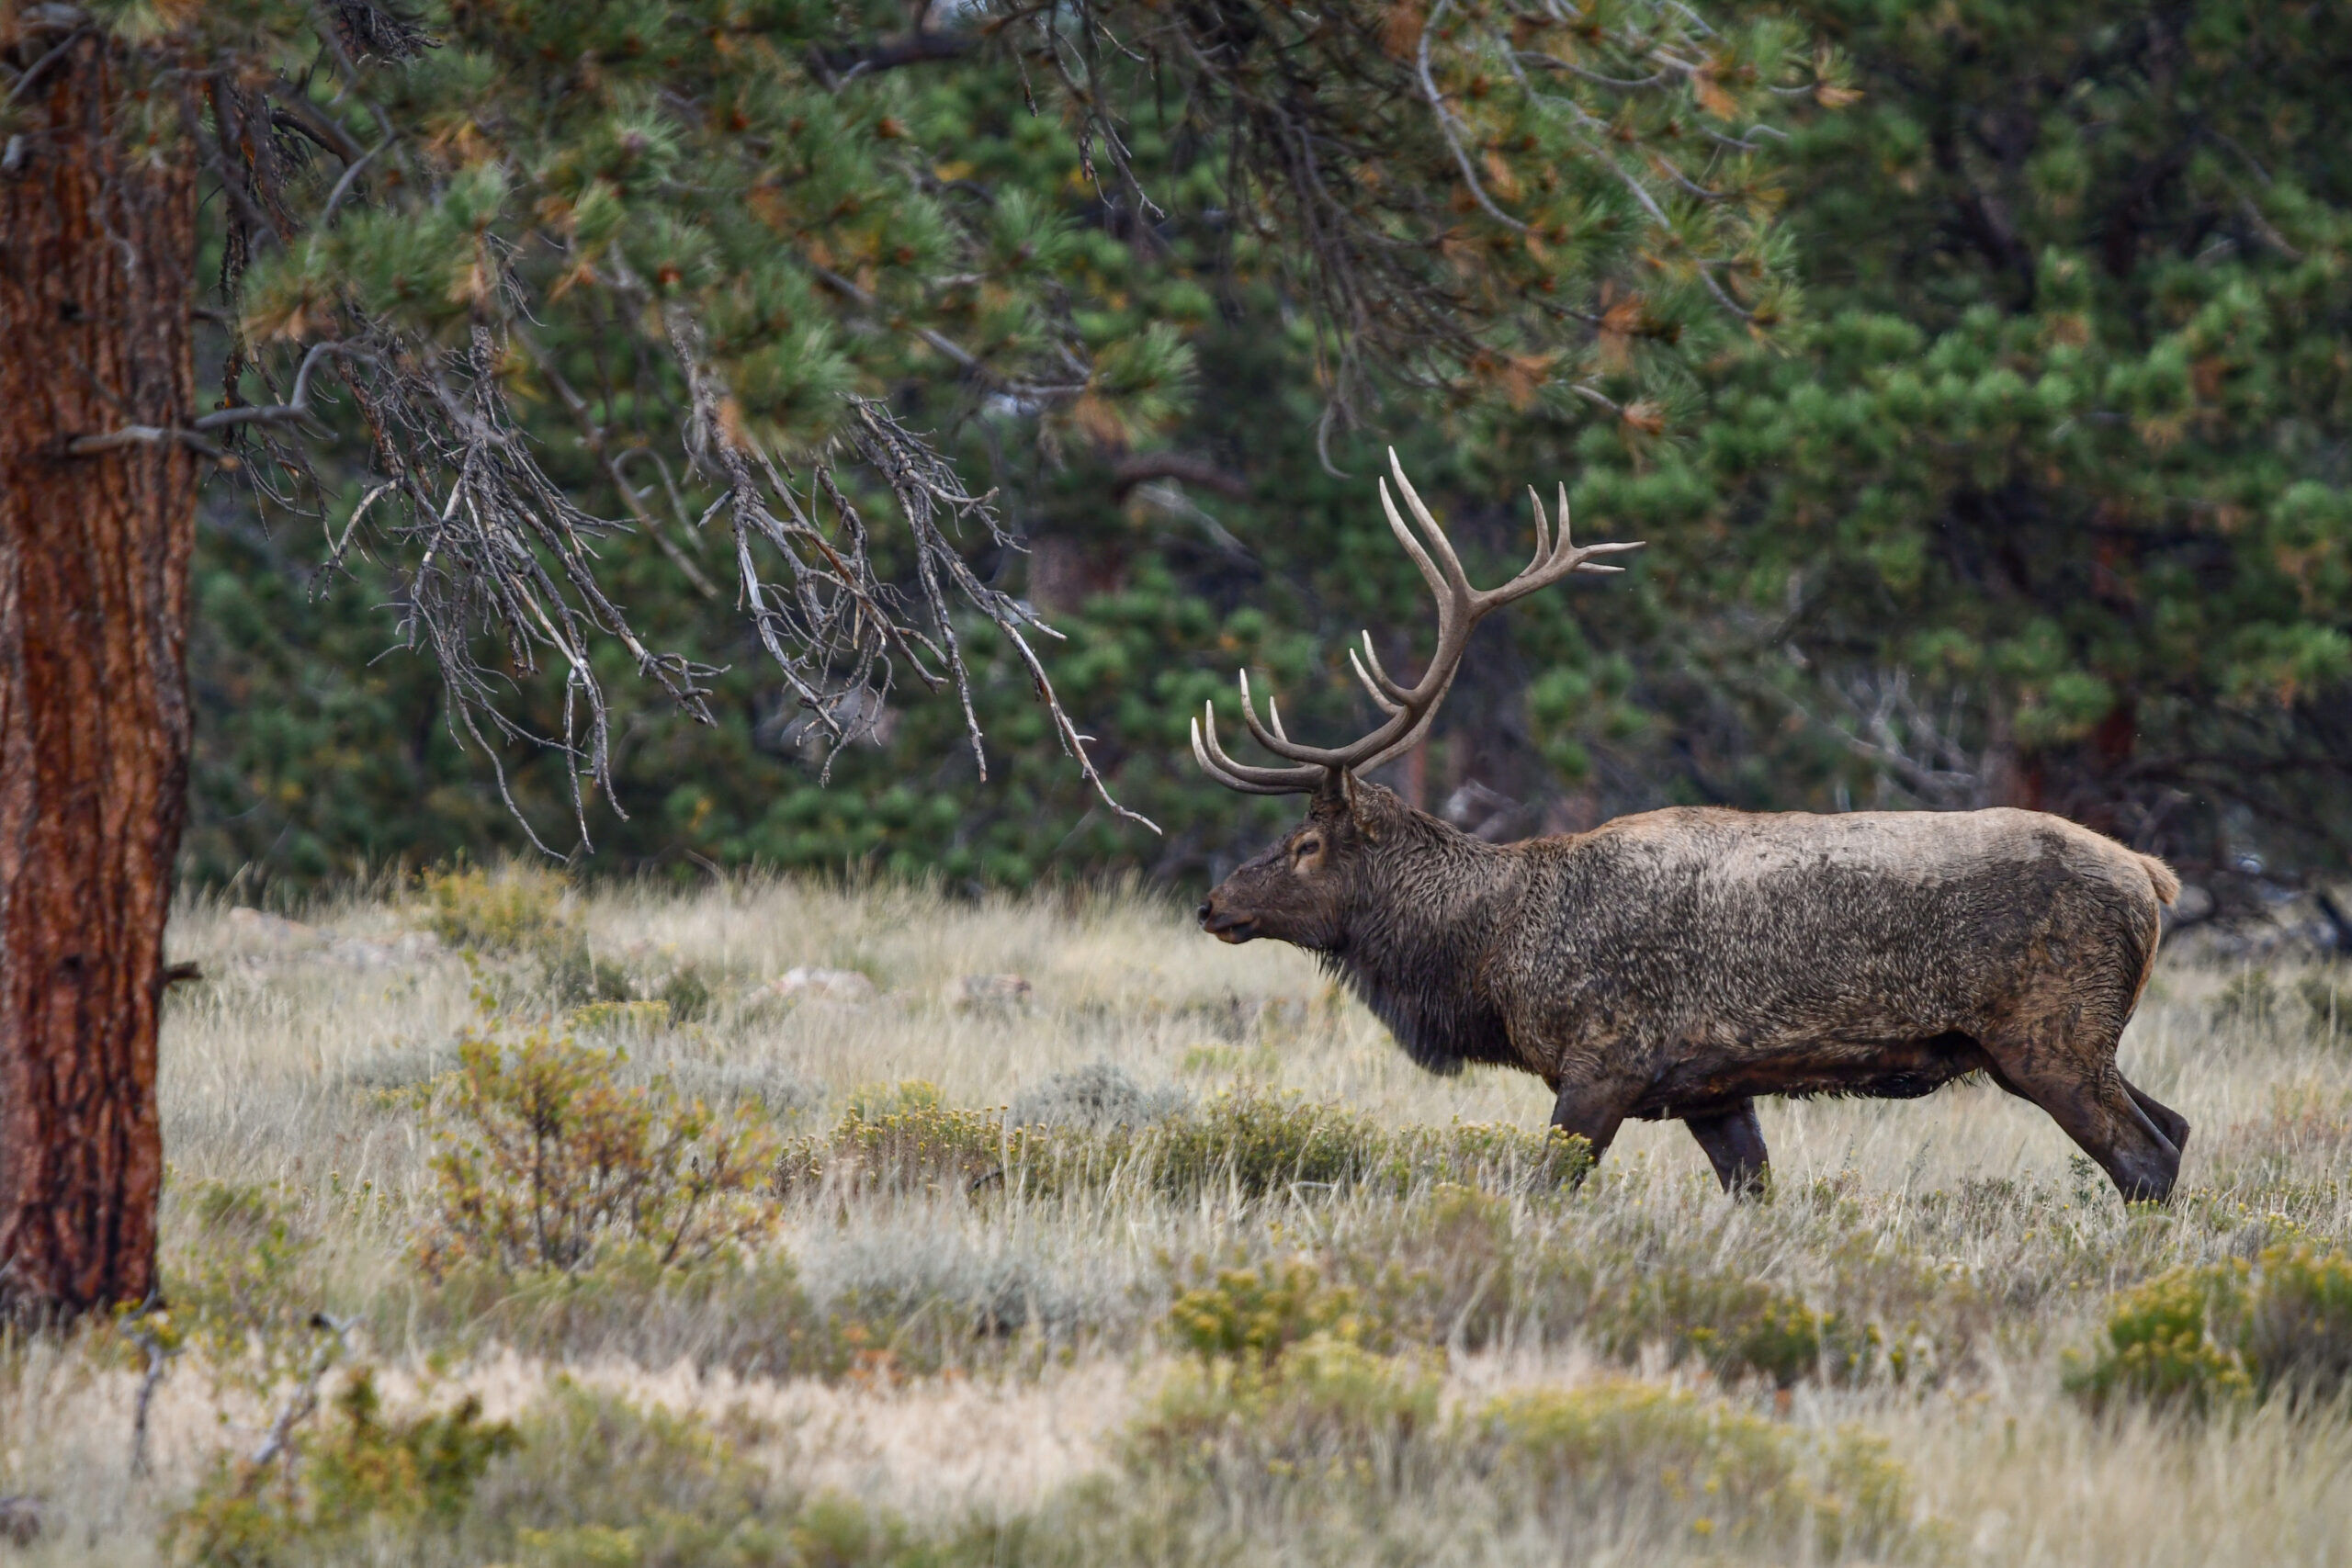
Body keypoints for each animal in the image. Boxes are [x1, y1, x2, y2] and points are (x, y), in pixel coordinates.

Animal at [1189, 453, 2188, 1202]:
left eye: (1306, 845)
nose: (1212, 903)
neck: (1492, 950)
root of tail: (2152, 876)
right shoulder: (1710, 1086)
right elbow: (1754, 1189)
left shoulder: (1604, 1059)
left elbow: (1547, 1186)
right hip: (2061, 1040)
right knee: (2176, 1127)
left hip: (2052, 1033)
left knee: (2145, 1156)